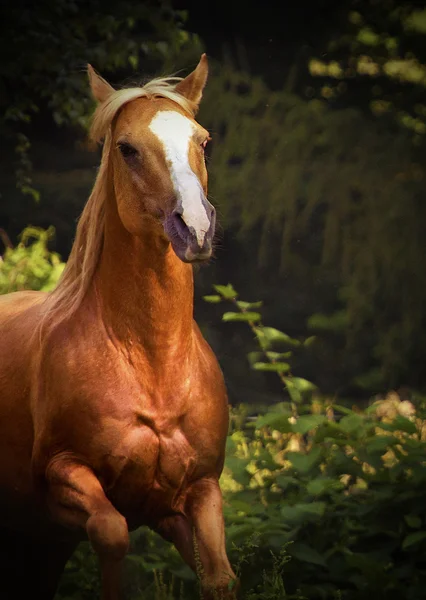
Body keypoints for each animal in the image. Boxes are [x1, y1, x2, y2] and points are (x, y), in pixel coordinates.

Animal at [0, 54, 236, 596]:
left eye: (203, 141)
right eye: (127, 149)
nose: (195, 229)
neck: (153, 366)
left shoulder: (198, 491)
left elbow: (220, 576)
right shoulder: (63, 475)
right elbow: (111, 534)